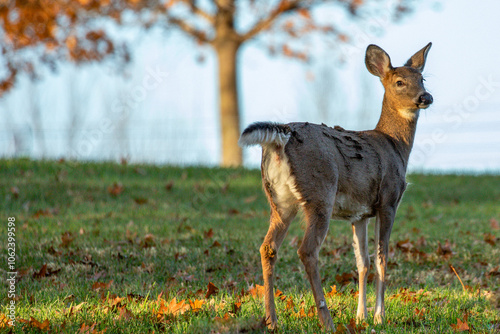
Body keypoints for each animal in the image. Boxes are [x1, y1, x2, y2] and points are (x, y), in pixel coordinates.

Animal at [238, 43, 434, 330]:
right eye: (400, 82)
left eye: (422, 79)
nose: (425, 97)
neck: (396, 145)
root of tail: (281, 137)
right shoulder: (388, 200)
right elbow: (382, 258)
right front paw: (379, 316)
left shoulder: (360, 214)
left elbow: (362, 262)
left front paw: (361, 315)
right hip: (320, 193)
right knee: (307, 250)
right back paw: (326, 320)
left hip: (279, 200)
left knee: (268, 247)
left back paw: (272, 320)